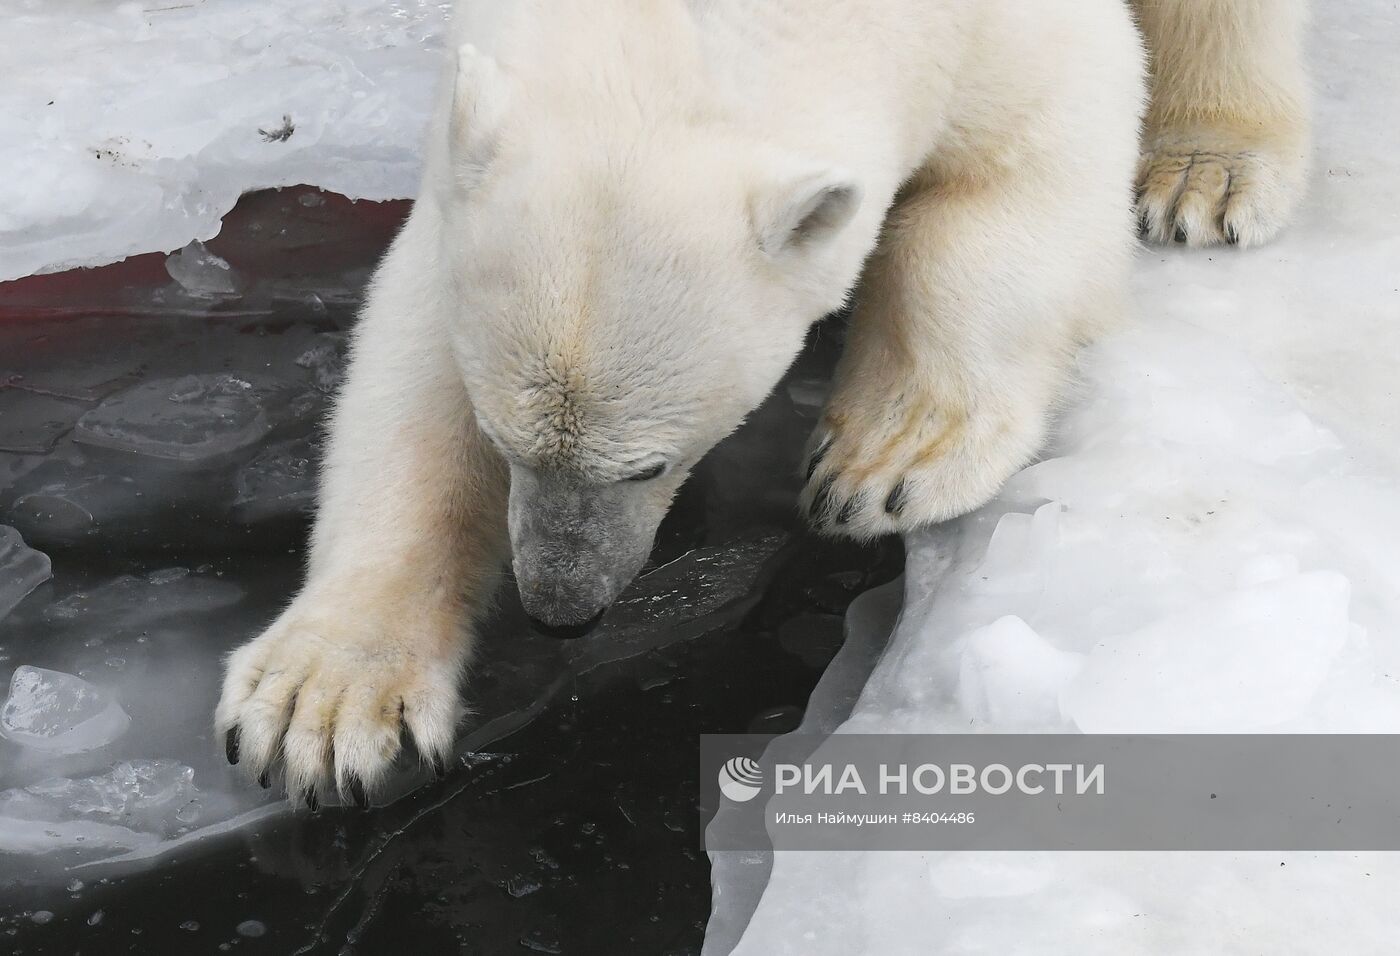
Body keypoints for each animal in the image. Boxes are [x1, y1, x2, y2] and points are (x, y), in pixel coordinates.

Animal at [215, 0, 1310, 806]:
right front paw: (324, 707)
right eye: (504, 439)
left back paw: (1205, 170)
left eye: (648, 464)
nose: (562, 608)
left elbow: (1023, 164)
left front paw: (880, 465)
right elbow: (412, 350)